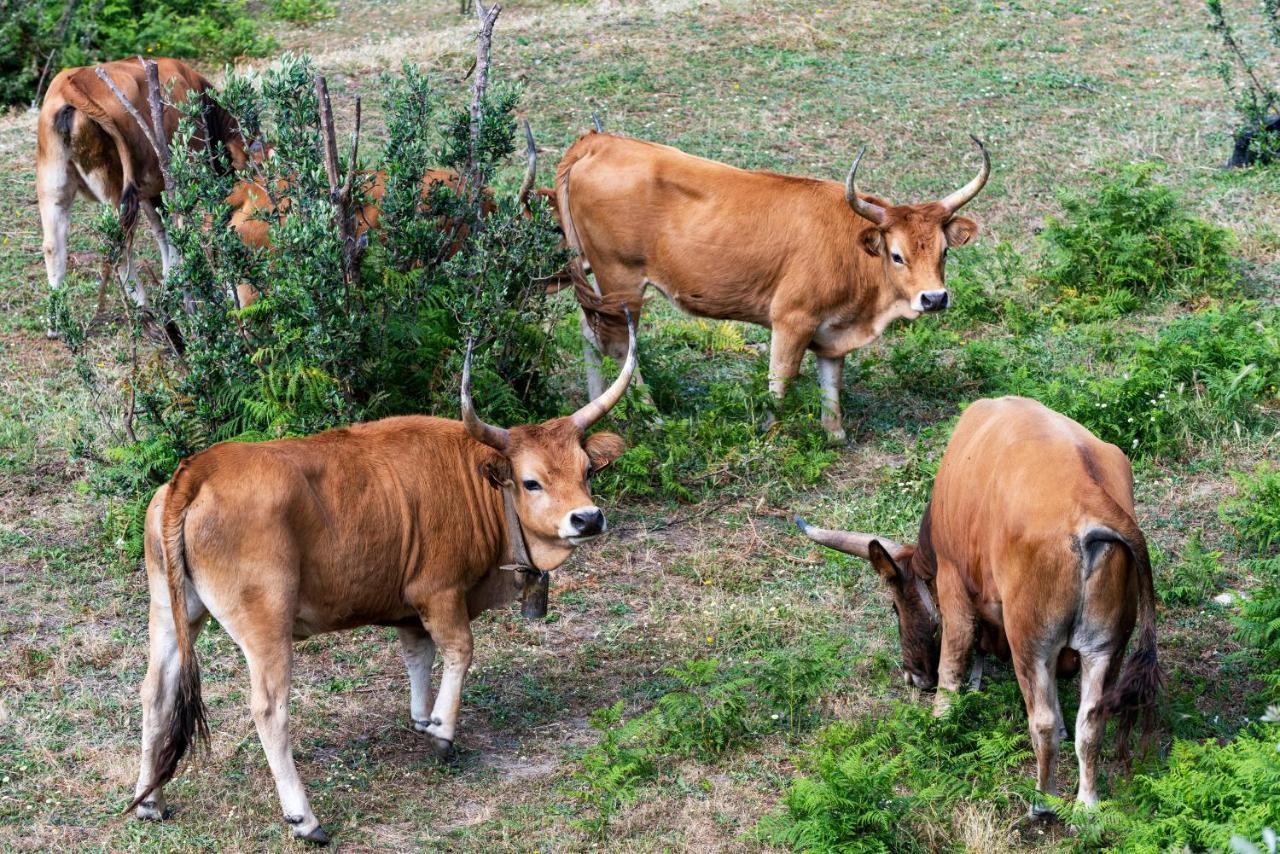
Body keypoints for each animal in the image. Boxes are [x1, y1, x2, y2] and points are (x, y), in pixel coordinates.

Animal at [36, 56, 244, 323]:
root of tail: (71, 84)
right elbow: (175, 229)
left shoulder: (149, 190)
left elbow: (161, 229)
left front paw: (169, 279)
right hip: (115, 191)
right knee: (119, 247)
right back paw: (142, 307)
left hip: (53, 187)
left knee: (54, 247)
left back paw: (56, 322)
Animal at [129, 327, 640, 839]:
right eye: (531, 482)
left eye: (587, 471)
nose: (587, 518)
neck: (474, 482)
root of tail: (198, 469)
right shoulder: (439, 592)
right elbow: (459, 650)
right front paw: (442, 731)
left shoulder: (410, 609)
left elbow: (418, 657)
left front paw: (422, 718)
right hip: (265, 624)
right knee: (269, 708)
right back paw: (304, 818)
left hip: (172, 612)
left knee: (156, 693)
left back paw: (150, 801)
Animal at [793, 396, 1157, 814]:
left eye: (895, 609)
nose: (912, 676)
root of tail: (1093, 498)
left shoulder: (953, 580)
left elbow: (953, 658)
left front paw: (937, 722)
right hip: (1106, 647)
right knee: (1091, 723)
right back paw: (1087, 805)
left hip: (1030, 640)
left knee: (1043, 722)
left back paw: (1042, 802)